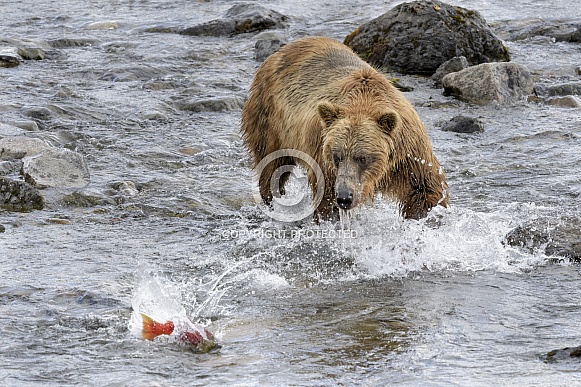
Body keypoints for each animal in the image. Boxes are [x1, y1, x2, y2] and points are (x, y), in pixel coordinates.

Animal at [240, 38, 448, 223]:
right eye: (337, 156)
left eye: (362, 158)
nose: (344, 196)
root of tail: (280, 51)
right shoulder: (323, 159)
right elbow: (325, 199)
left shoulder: (407, 154)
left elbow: (425, 189)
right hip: (270, 120)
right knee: (271, 165)